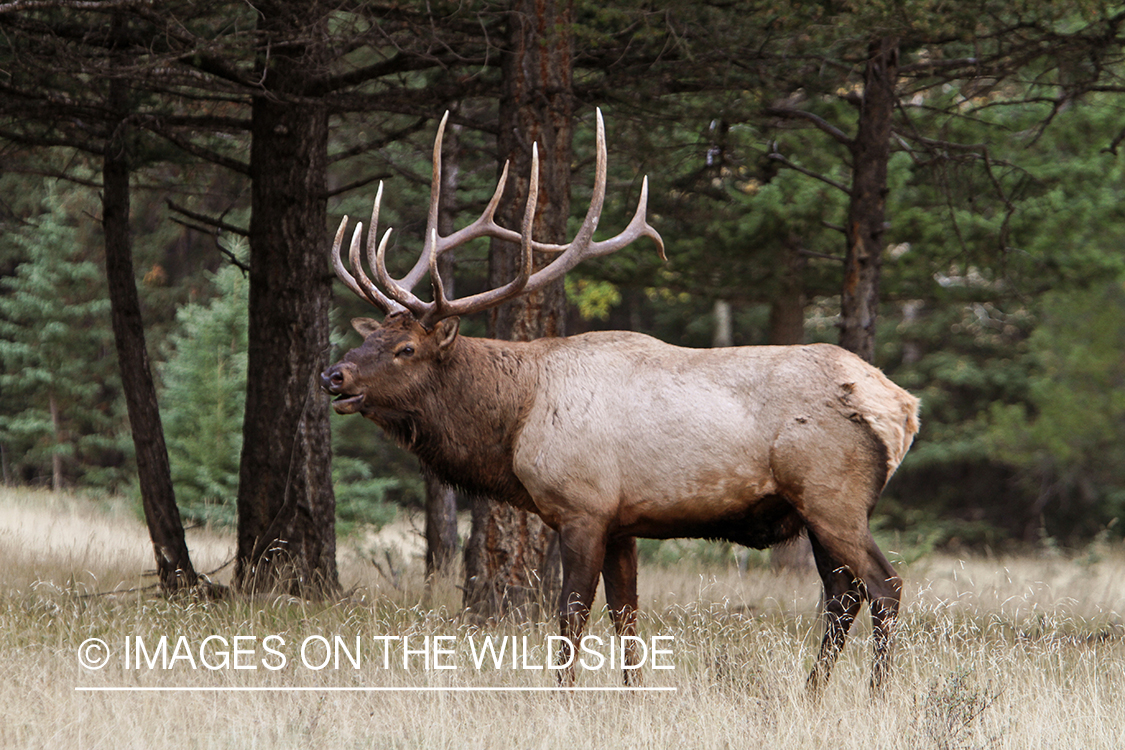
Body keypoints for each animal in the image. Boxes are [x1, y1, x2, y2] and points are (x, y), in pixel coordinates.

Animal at [321, 110, 918, 692]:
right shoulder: (623, 523)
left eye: (405, 348)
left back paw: (876, 693)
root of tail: (903, 409)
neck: (515, 426)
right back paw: (811, 694)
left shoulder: (582, 508)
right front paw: (632, 697)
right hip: (817, 509)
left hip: (832, 494)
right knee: (843, 597)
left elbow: (571, 617)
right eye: (370, 336)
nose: (333, 375)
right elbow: (625, 616)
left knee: (883, 586)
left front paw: (564, 699)